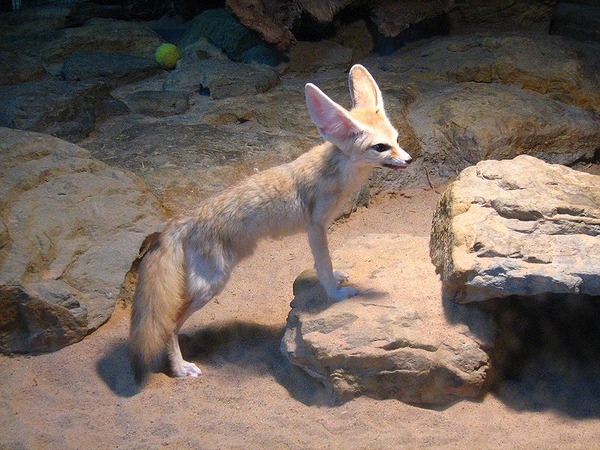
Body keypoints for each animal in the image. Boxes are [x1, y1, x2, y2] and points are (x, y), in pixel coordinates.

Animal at [130, 64, 412, 384]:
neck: (338, 170)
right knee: (169, 326)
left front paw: (335, 277)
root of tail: (180, 220)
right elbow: (323, 264)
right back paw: (179, 369)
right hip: (211, 285)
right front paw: (335, 294)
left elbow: (325, 265)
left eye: (396, 139)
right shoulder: (316, 226)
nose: (409, 159)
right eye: (380, 147)